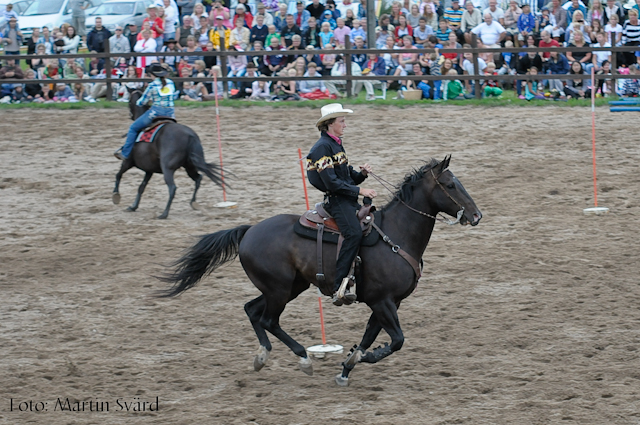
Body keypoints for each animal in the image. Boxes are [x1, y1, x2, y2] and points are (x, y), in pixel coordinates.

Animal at [112, 88, 225, 217]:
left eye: (129, 101)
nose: (130, 115)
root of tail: (190, 135)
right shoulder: (149, 170)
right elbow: (141, 187)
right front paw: (133, 206)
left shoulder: (128, 161)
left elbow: (118, 175)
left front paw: (116, 196)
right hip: (190, 166)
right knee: (198, 178)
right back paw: (193, 203)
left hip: (168, 168)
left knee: (172, 188)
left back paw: (164, 214)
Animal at [159, 156, 480, 384]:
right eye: (451, 185)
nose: (476, 216)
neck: (396, 234)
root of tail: (249, 231)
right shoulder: (383, 301)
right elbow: (396, 340)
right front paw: (361, 359)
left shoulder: (388, 302)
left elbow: (369, 336)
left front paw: (348, 366)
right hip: (278, 289)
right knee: (267, 319)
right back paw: (303, 359)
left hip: (290, 286)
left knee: (251, 310)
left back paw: (262, 357)